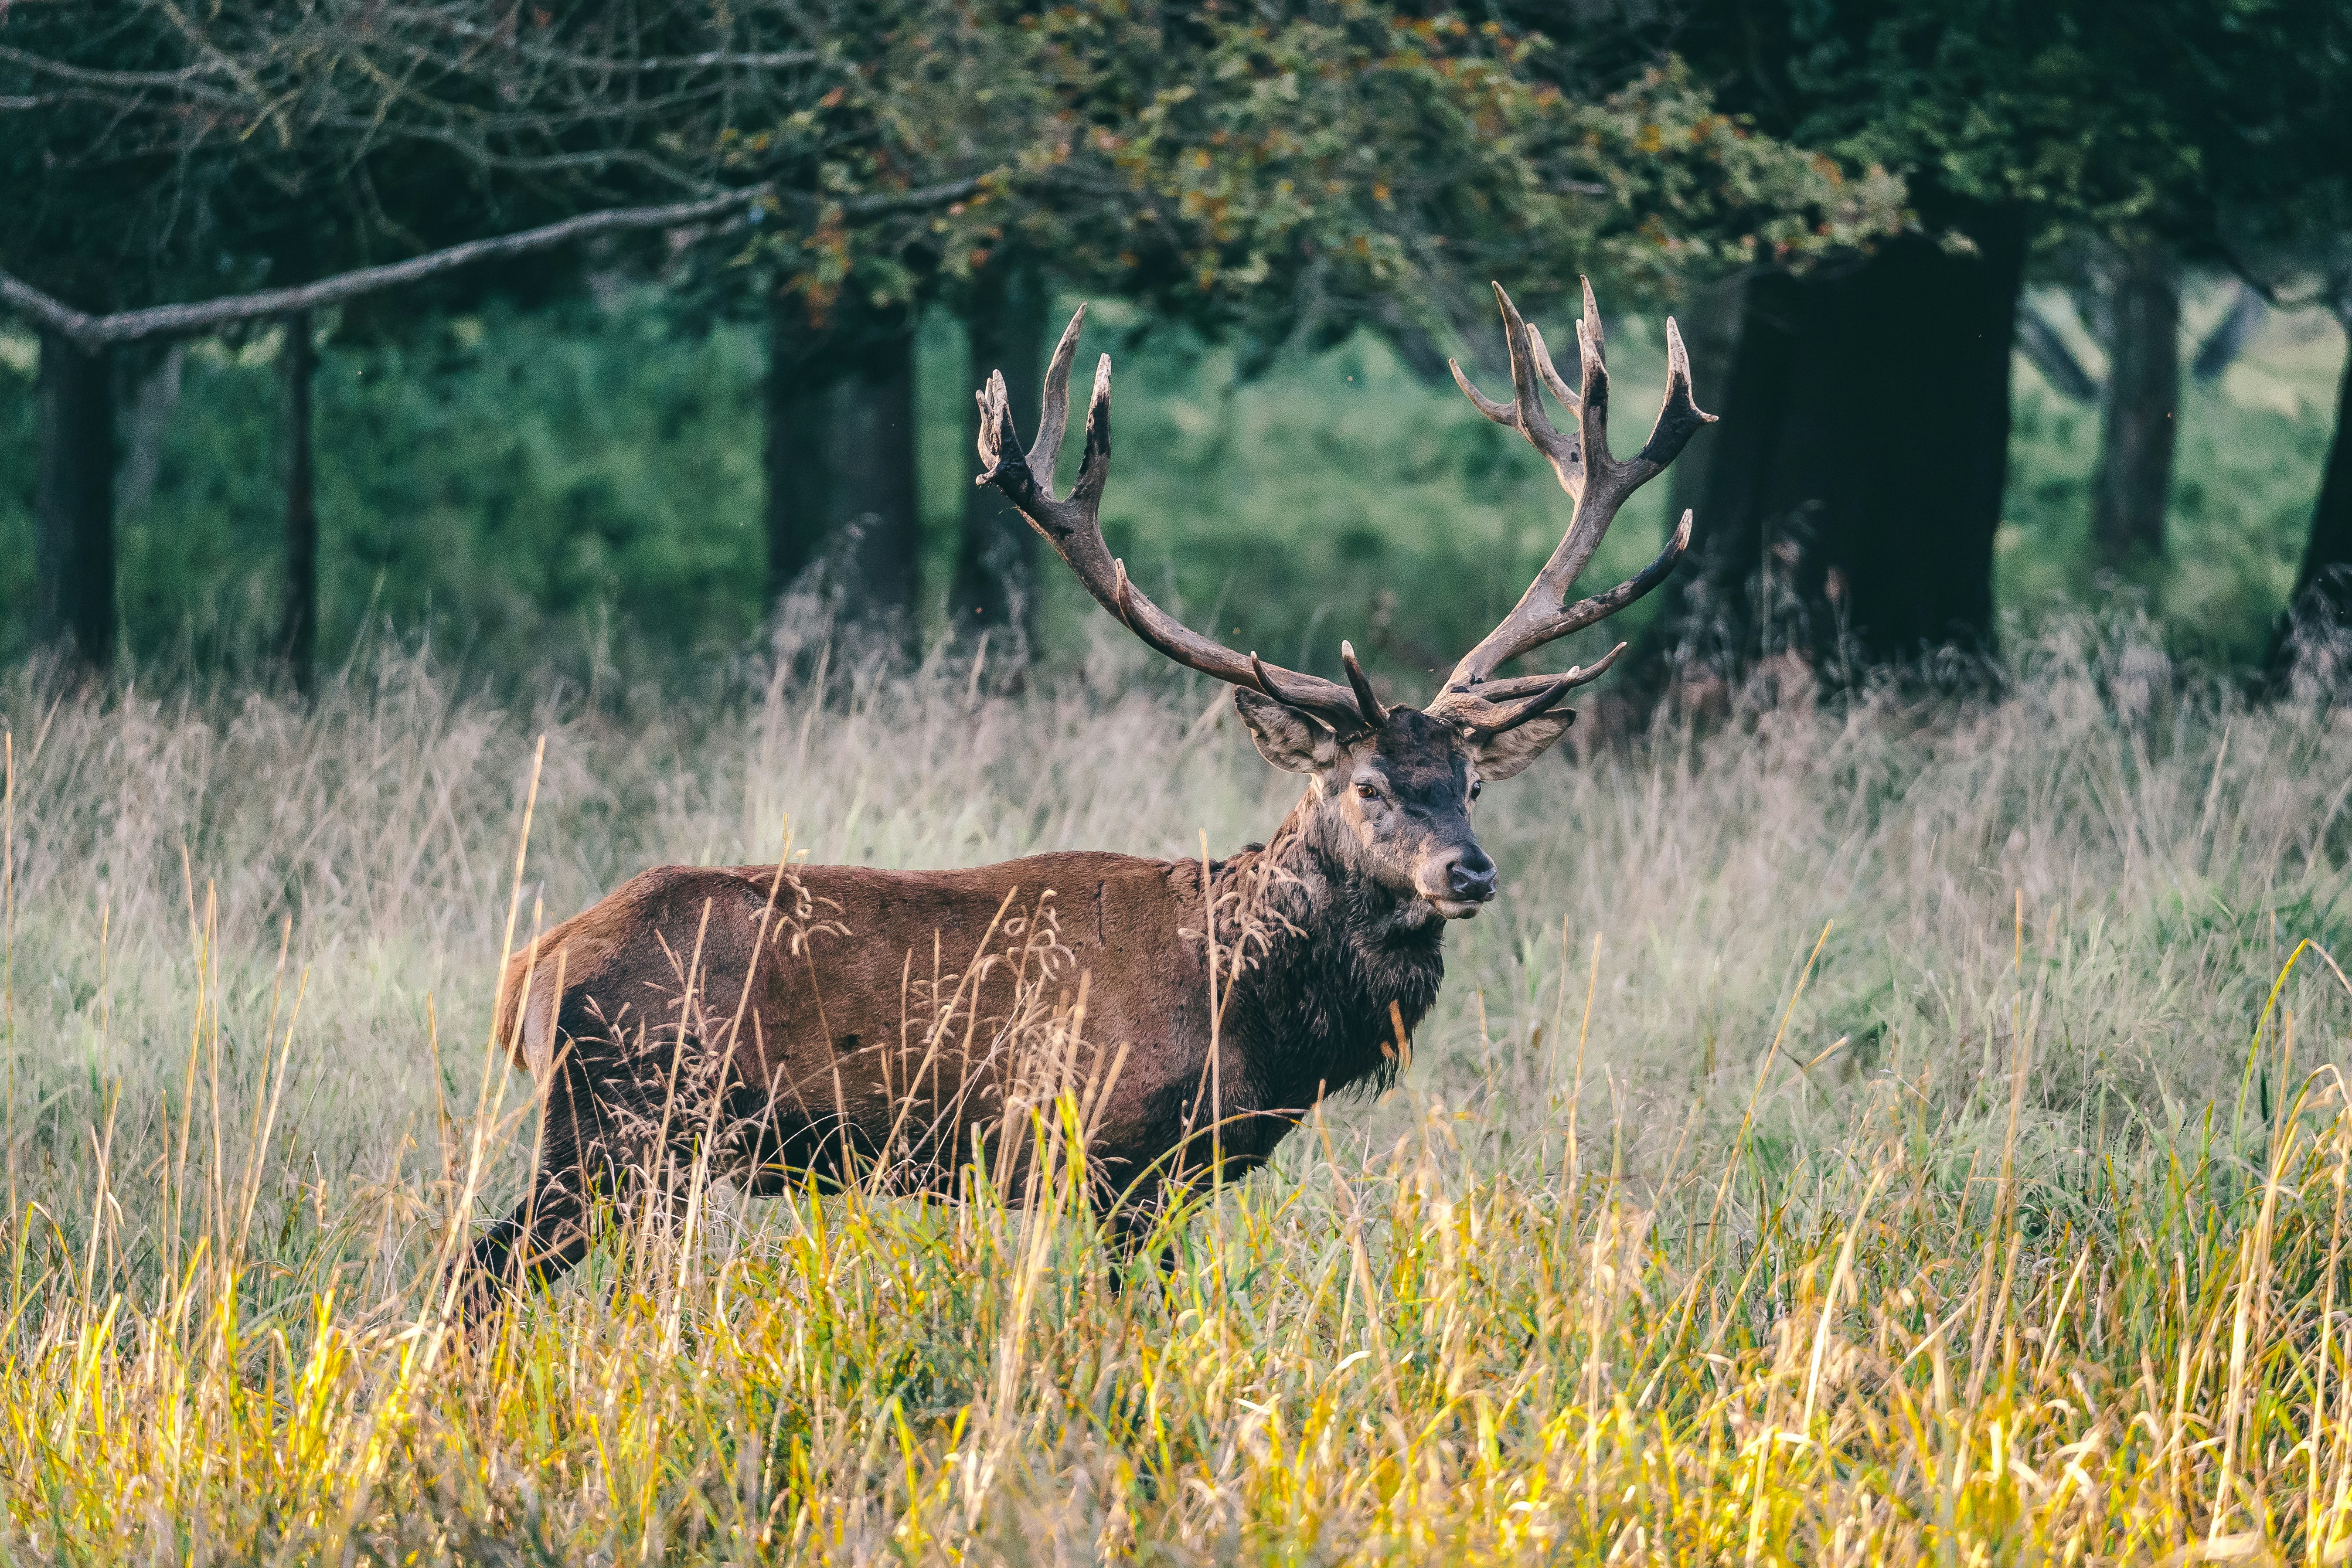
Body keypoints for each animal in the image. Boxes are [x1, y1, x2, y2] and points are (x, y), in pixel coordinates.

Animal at [459, 278, 1710, 1308]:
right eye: (1364, 784)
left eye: (1470, 783)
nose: (1468, 870)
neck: (1249, 1008)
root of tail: (527, 971)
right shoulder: (1104, 1153)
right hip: (619, 1125)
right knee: (479, 1269)